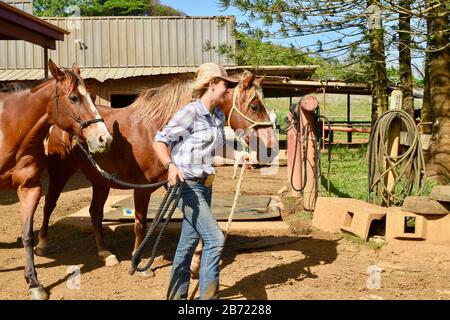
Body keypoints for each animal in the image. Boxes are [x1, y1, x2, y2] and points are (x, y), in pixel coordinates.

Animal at [0, 60, 112, 300]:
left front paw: (34, 282)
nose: (104, 138)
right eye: (74, 97)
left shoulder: (30, 188)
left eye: (92, 95)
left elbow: (27, 235)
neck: (8, 130)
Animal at [36, 71, 278, 276]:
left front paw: (195, 262)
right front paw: (138, 262)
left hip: (100, 181)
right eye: (255, 106)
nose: (270, 147)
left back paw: (105, 253)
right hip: (60, 173)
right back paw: (41, 245)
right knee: (49, 204)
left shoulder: (174, 183)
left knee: (95, 213)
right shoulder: (142, 188)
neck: (154, 129)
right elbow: (140, 224)